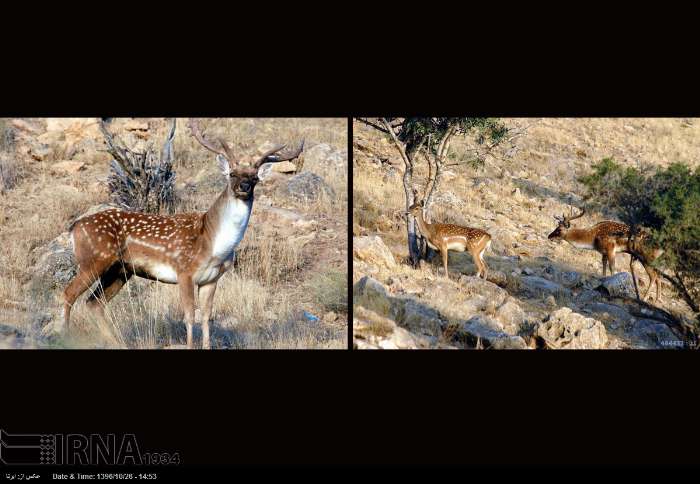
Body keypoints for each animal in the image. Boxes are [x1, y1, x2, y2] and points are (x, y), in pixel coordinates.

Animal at [64, 119, 304, 350]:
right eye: (232, 174)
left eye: (255, 178)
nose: (244, 186)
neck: (214, 244)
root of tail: (74, 227)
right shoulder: (184, 271)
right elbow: (189, 316)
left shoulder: (212, 279)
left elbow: (206, 317)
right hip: (93, 260)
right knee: (69, 294)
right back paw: (62, 335)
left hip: (120, 270)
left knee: (93, 303)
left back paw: (118, 343)